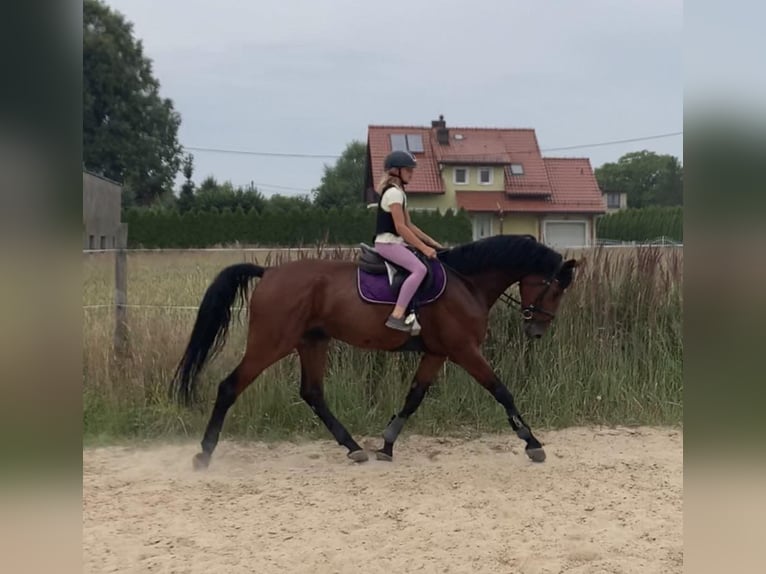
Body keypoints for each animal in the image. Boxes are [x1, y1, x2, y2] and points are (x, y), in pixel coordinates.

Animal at [171, 236, 580, 470]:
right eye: (555, 289)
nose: (537, 330)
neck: (467, 282)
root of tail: (269, 273)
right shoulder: (464, 350)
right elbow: (501, 391)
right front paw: (532, 443)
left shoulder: (437, 353)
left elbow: (414, 397)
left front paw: (386, 444)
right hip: (271, 342)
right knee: (229, 387)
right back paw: (204, 454)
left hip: (312, 342)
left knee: (313, 393)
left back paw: (354, 448)